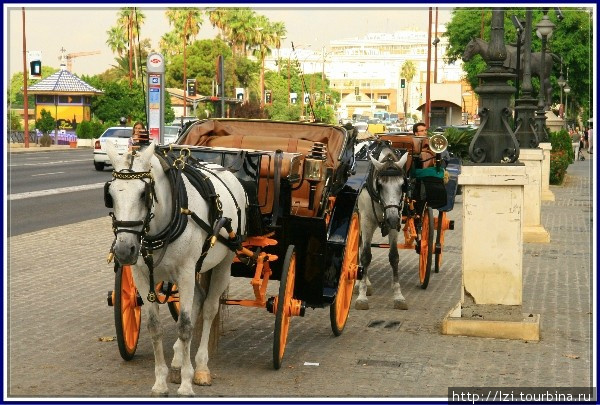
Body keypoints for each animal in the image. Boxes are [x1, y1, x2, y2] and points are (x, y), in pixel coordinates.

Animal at [103, 142, 246, 394]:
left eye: (144, 194)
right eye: (110, 195)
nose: (124, 250)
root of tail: (227, 170)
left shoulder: (186, 272)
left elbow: (185, 326)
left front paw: (187, 385)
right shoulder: (142, 276)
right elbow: (154, 327)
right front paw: (160, 382)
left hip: (224, 263)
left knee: (209, 308)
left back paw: (201, 367)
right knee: (198, 299)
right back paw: (179, 361)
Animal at [354, 141, 410, 310]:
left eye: (403, 185)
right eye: (380, 185)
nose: (391, 219)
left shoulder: (395, 222)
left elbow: (394, 257)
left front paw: (398, 296)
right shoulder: (366, 221)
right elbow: (366, 255)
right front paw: (362, 296)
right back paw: (360, 283)